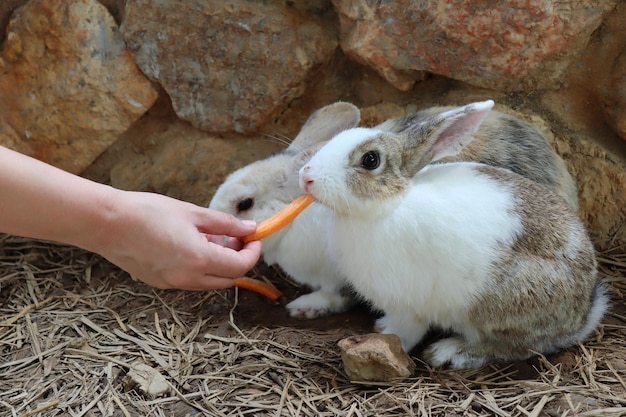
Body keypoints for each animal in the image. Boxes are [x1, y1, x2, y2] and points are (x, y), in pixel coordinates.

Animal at [300, 101, 608, 368]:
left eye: (370, 159)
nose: (306, 176)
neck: (388, 204)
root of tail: (580, 316)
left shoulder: (405, 303)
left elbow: (405, 331)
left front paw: (385, 336)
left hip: (498, 306)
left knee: (519, 347)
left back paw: (450, 351)